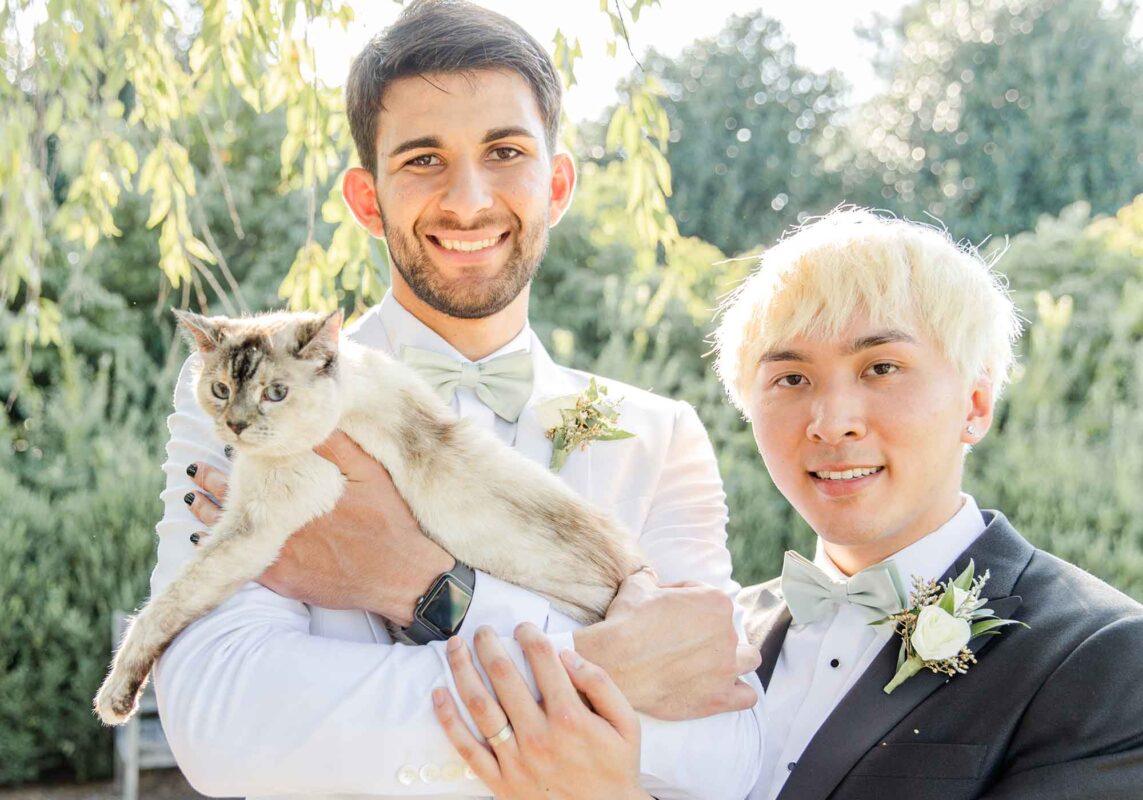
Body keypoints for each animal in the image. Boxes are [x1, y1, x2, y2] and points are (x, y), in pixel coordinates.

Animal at [92, 308, 640, 726]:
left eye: (276, 393)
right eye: (222, 390)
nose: (236, 426)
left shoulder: (252, 525)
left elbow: (161, 607)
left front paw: (114, 699)